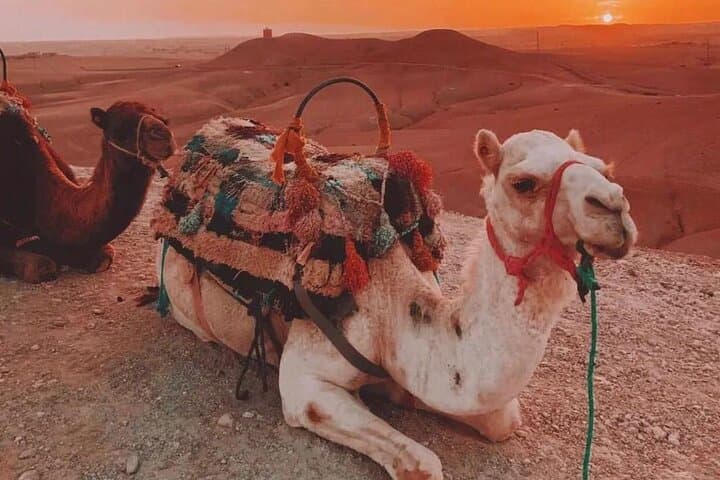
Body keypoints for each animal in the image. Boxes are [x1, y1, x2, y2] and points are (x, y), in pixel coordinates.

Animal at [157, 126, 637, 479]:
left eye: (603, 167)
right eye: (524, 183)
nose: (615, 209)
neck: (394, 304)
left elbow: (503, 419)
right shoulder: (303, 380)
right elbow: (423, 464)